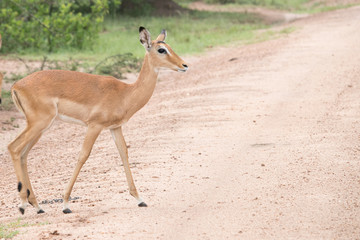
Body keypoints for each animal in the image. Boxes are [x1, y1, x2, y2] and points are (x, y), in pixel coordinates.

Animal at [7, 27, 188, 215]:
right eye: (161, 50)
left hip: (40, 127)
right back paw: (23, 205)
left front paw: (140, 199)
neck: (126, 93)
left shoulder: (115, 128)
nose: (184, 65)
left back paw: (37, 206)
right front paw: (65, 204)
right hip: (39, 123)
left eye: (169, 47)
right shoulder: (94, 126)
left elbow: (123, 153)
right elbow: (83, 155)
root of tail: (16, 86)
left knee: (23, 154)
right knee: (14, 148)